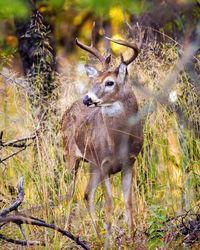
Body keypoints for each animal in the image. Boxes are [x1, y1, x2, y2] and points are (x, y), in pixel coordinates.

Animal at [61, 22, 144, 241]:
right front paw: (112, 238)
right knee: (71, 194)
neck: (118, 142)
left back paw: (97, 235)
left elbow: (128, 202)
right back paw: (66, 233)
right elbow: (109, 204)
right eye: (94, 81)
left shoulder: (130, 162)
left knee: (86, 194)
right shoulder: (104, 163)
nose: (87, 99)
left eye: (109, 82)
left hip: (92, 165)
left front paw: (132, 236)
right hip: (71, 155)